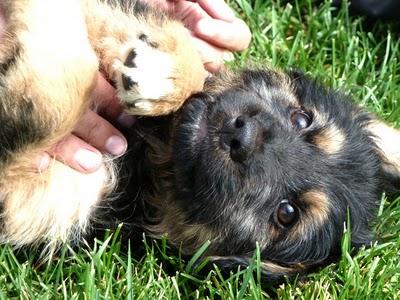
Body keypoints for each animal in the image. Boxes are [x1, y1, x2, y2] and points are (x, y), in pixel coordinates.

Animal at [0, 0, 400, 282]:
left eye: (287, 214)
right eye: (302, 119)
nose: (241, 135)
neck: (150, 150)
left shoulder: (40, 198)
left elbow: (57, 96)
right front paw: (166, 74)